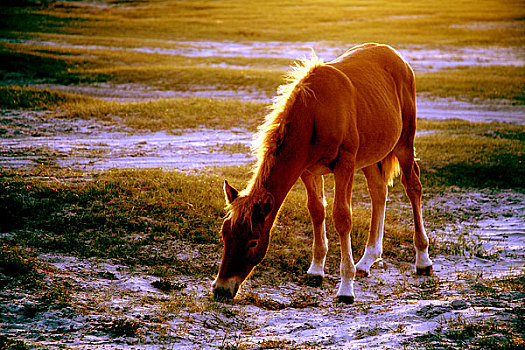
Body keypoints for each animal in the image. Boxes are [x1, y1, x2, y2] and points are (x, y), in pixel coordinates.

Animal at [211, 42, 432, 302]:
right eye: (225, 234)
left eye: (253, 241)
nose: (221, 289)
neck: (314, 113)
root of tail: (397, 57)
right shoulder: (308, 170)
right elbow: (317, 211)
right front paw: (316, 270)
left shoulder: (345, 164)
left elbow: (342, 218)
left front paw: (346, 287)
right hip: (370, 154)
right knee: (378, 192)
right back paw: (367, 261)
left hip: (404, 142)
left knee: (413, 187)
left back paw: (422, 260)